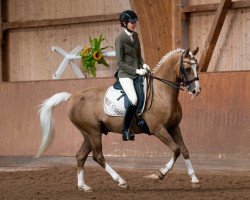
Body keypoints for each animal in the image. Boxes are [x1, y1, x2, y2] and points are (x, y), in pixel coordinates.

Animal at [36, 47, 201, 192]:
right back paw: (121, 181)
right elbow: (176, 149)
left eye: (197, 66)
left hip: (89, 134)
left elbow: (184, 150)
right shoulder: (158, 129)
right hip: (93, 132)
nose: (196, 90)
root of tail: (72, 97)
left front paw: (194, 179)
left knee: (80, 156)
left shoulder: (174, 127)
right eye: (187, 68)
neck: (161, 93)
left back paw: (84, 186)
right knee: (98, 156)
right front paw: (159, 174)